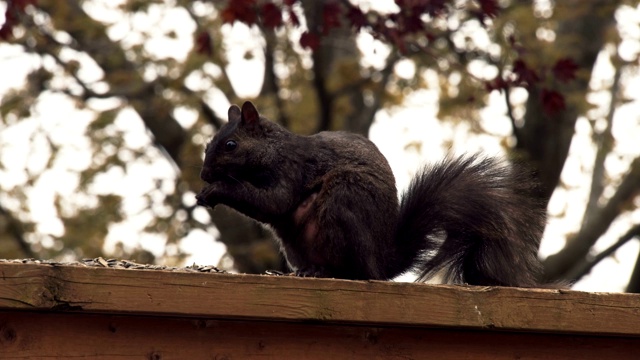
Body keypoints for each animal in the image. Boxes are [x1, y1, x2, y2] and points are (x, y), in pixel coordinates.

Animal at [195, 101, 544, 286]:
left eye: (231, 145)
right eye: (209, 142)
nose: (204, 174)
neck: (274, 149)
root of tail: (381, 263)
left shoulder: (291, 170)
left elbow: (273, 203)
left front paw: (216, 190)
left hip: (344, 200)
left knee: (357, 272)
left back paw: (328, 271)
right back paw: (308, 270)